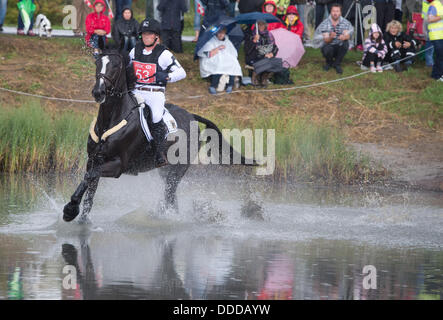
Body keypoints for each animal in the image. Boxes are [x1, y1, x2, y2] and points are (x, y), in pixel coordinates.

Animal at [61, 50, 253, 225]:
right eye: (98, 64)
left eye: (115, 66)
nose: (98, 92)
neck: (109, 121)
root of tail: (191, 115)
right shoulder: (94, 160)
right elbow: (90, 187)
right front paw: (81, 218)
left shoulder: (118, 165)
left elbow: (89, 176)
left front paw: (70, 209)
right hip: (166, 171)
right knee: (171, 197)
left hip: (177, 170)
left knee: (170, 194)